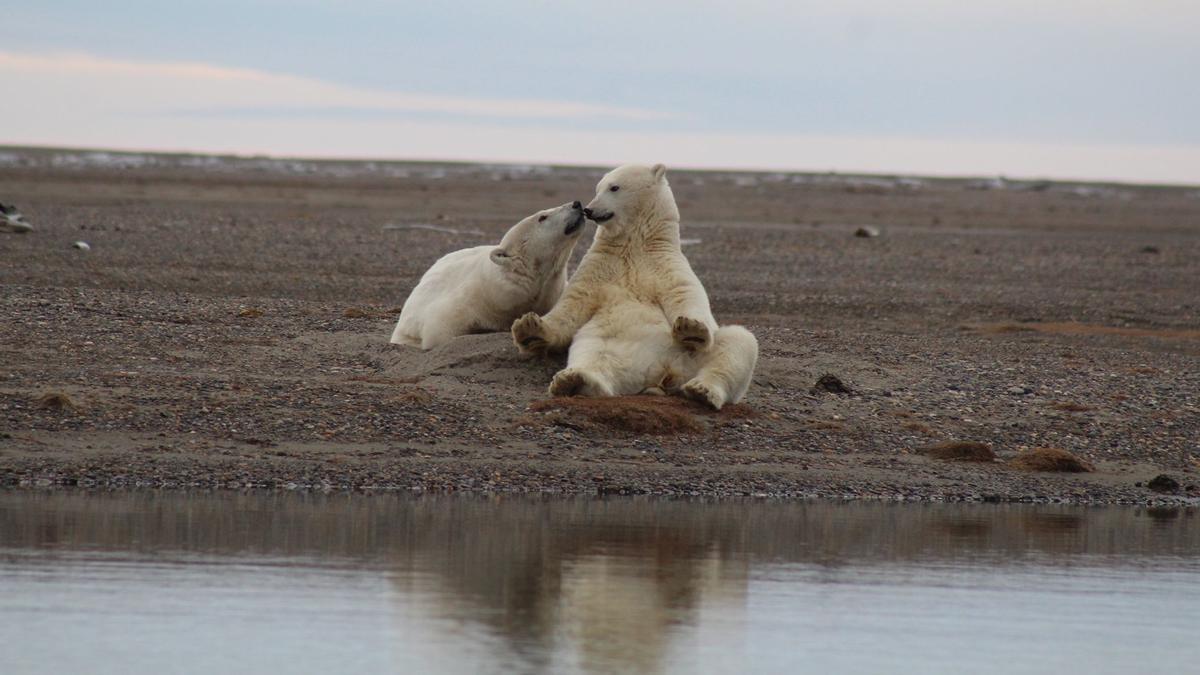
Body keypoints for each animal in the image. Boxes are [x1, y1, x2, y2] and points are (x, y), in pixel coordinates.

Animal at [513, 163, 758, 408]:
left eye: (614, 187)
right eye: (597, 188)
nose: (589, 209)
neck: (634, 246)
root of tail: (663, 374)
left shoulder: (665, 263)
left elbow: (684, 293)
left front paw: (691, 329)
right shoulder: (599, 266)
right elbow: (573, 303)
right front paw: (529, 326)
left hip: (692, 357)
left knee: (737, 343)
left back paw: (703, 389)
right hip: (607, 341)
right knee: (595, 355)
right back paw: (575, 380)